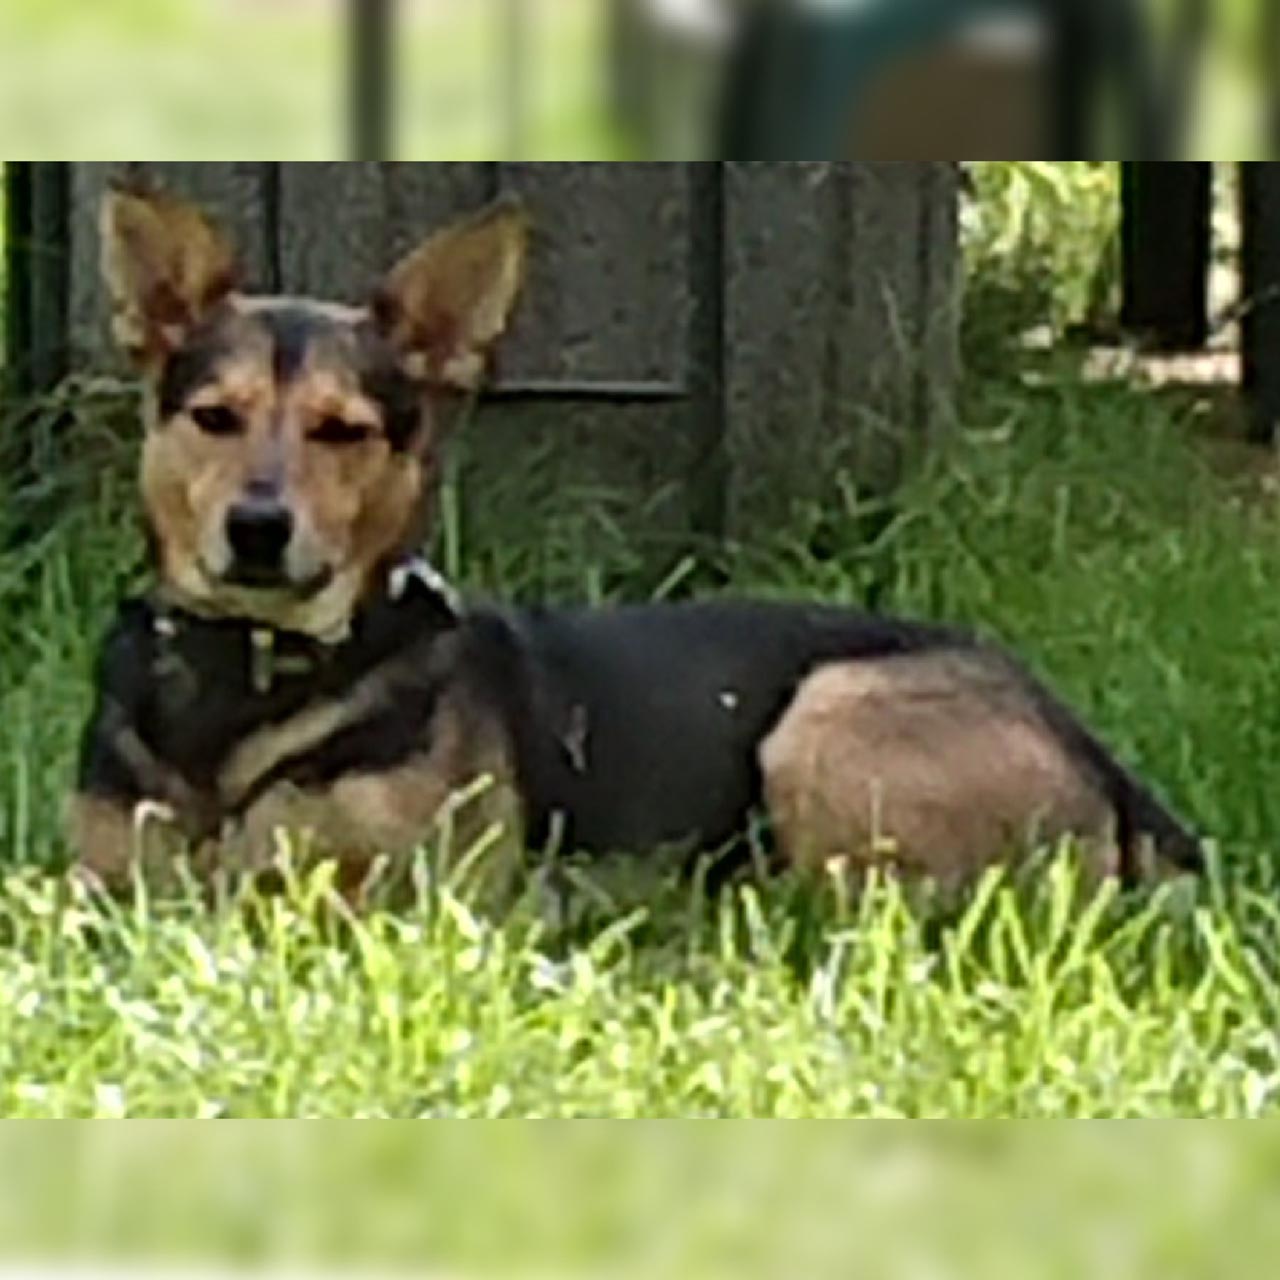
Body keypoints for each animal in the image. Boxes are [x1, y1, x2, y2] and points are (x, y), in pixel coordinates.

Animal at [70, 183, 1204, 909]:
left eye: (342, 431)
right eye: (214, 417)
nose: (258, 528)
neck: (252, 674)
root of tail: (1107, 764)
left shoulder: (403, 894)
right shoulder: (97, 889)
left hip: (824, 720)